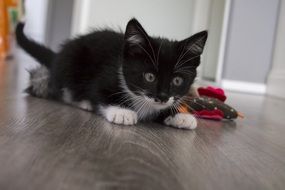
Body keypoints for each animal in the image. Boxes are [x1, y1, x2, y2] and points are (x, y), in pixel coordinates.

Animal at [15, 18, 206, 130]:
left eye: (177, 80)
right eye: (149, 77)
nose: (163, 97)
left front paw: (180, 116)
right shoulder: (101, 77)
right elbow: (100, 93)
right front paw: (122, 111)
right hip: (71, 63)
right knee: (66, 90)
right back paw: (84, 102)